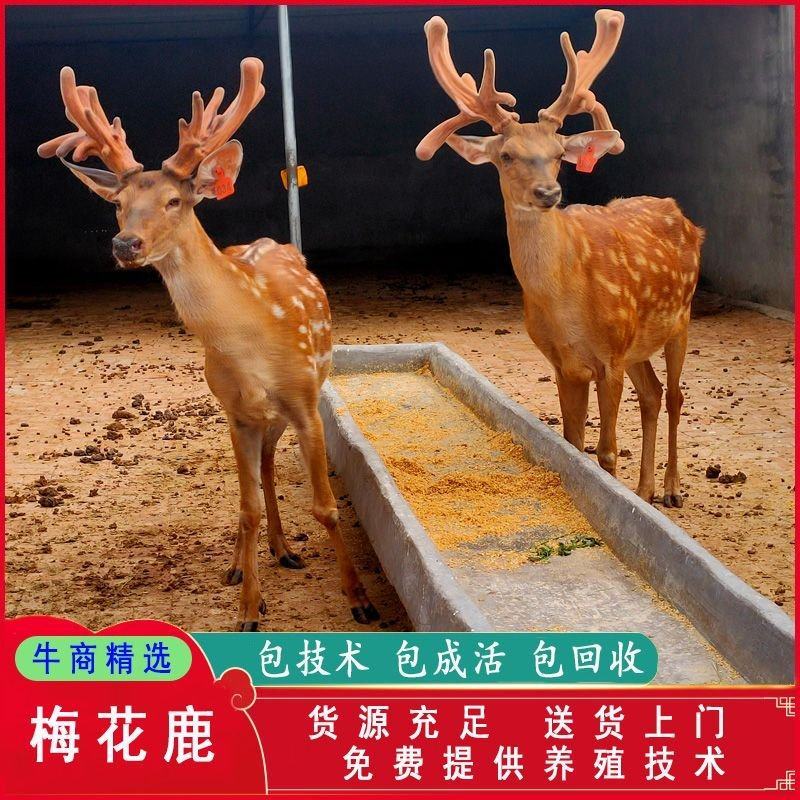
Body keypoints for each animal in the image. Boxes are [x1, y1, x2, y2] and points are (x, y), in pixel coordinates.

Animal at [38, 58, 379, 631]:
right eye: (118, 205)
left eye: (175, 200)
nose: (125, 244)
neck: (252, 343)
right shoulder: (235, 411)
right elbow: (246, 508)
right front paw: (247, 609)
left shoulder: (306, 401)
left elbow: (327, 507)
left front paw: (359, 599)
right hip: (247, 416)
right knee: (257, 479)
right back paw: (248, 563)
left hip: (287, 408)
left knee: (269, 466)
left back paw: (286, 551)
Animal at [416, 10, 703, 509]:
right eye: (506, 155)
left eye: (558, 155)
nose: (548, 193)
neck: (568, 300)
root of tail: (687, 219)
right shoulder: (563, 362)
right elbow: (572, 444)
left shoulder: (609, 355)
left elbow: (605, 453)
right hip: (638, 340)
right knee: (652, 394)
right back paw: (645, 489)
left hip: (679, 318)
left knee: (675, 397)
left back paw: (670, 489)